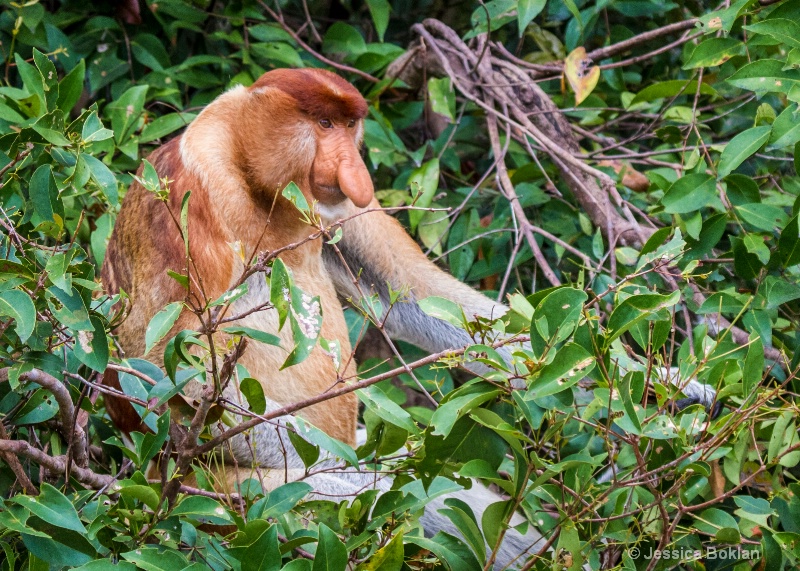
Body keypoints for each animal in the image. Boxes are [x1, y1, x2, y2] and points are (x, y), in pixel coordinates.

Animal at [101, 67, 720, 568]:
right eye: (322, 123)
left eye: (348, 127)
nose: (355, 171)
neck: (247, 173)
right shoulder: (180, 199)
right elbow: (160, 372)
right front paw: (366, 464)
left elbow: (405, 290)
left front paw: (672, 387)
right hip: (222, 500)